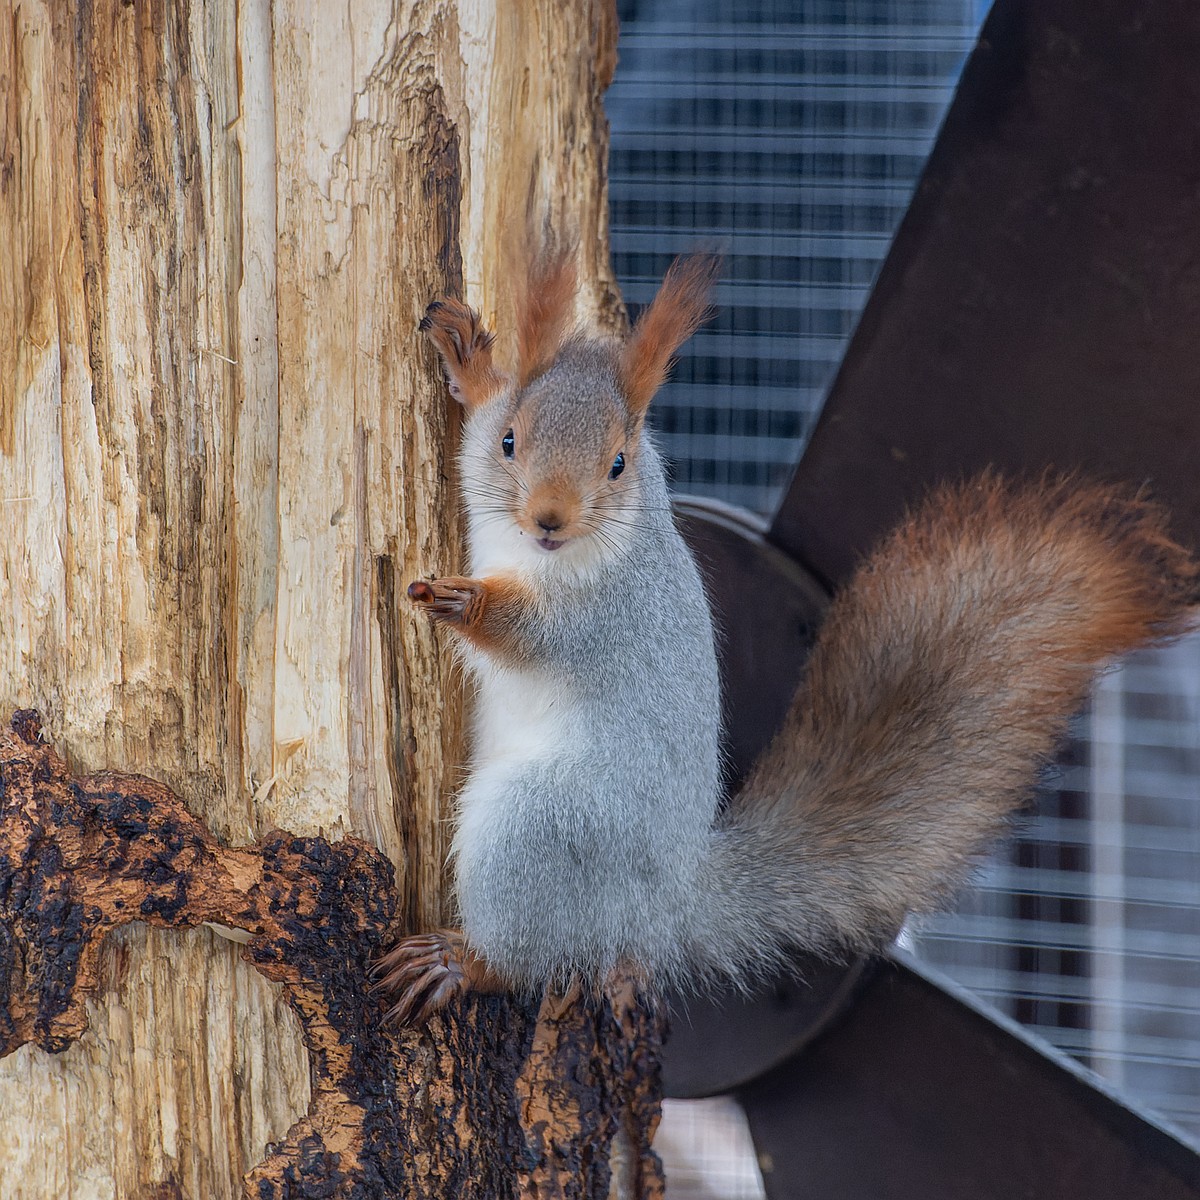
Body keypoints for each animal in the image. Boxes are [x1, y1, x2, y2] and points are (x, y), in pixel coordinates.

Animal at [369, 248, 1195, 1027]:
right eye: (513, 442)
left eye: (617, 464)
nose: (549, 518)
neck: (545, 554)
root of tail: (661, 909)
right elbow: (473, 432)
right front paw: (471, 360)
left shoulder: (606, 616)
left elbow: (535, 632)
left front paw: (466, 600)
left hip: (541, 830)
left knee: (529, 953)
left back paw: (464, 962)